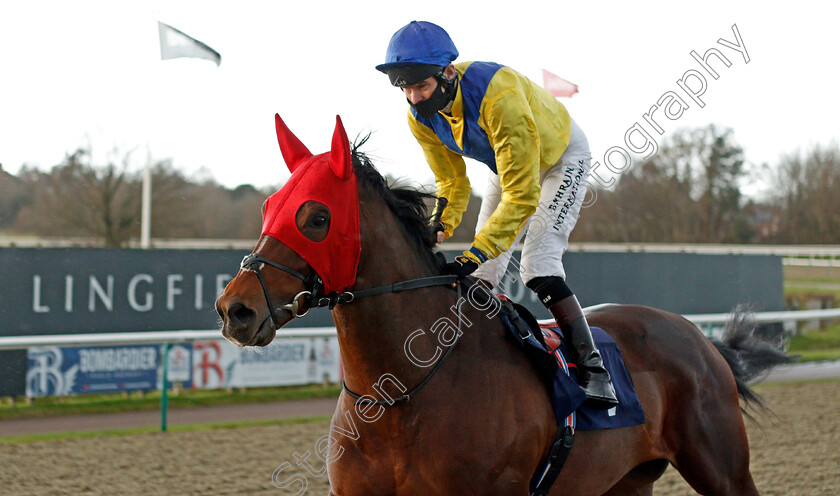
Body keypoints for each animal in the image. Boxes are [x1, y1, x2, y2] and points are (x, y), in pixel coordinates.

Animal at [218, 113, 796, 496]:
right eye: (269, 206)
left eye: (316, 218)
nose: (234, 309)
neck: (398, 395)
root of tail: (701, 339)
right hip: (624, 482)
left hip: (723, 469)